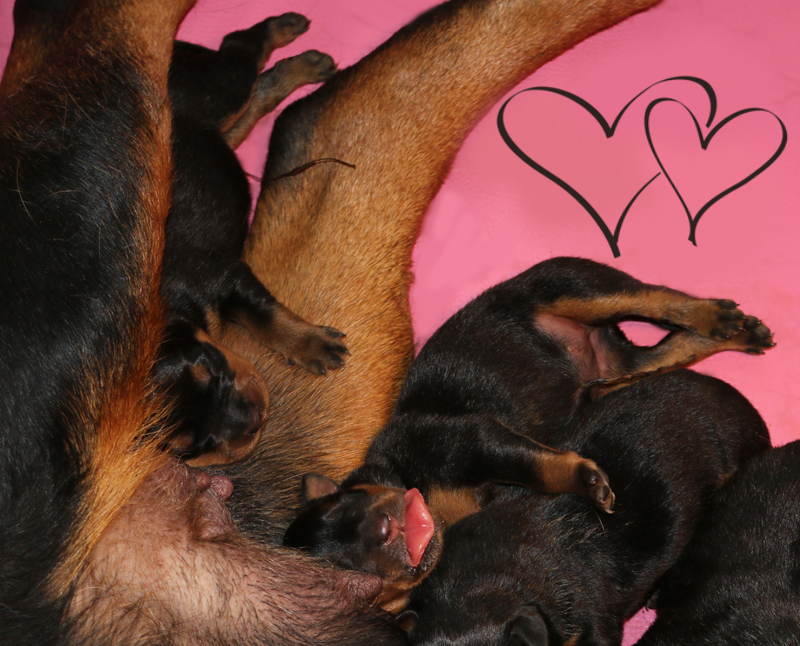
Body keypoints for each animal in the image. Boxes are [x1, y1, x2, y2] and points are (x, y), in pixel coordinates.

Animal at [156, 15, 346, 464]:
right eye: (196, 446)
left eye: (213, 370)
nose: (256, 419)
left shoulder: (227, 277)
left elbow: (268, 316)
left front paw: (314, 344)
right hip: (218, 126)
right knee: (254, 97)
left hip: (212, 87)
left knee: (239, 50)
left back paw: (295, 44)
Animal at [283, 256, 774, 612]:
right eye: (352, 575)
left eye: (348, 501)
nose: (384, 527)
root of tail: (594, 344)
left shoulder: (473, 441)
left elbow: (537, 466)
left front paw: (585, 482)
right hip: (620, 358)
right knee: (667, 350)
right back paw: (733, 334)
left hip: (577, 287)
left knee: (659, 298)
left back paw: (717, 317)